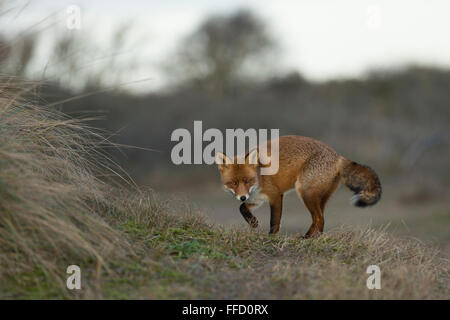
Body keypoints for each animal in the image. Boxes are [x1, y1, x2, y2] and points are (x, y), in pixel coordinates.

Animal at [216, 135, 382, 238]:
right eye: (234, 183)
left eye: (248, 181)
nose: (242, 196)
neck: (259, 177)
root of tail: (337, 156)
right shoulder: (257, 199)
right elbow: (242, 208)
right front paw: (253, 222)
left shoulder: (275, 195)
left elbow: (274, 221)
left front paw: (271, 238)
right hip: (321, 198)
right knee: (320, 219)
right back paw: (314, 238)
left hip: (306, 193)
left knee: (319, 218)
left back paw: (308, 239)